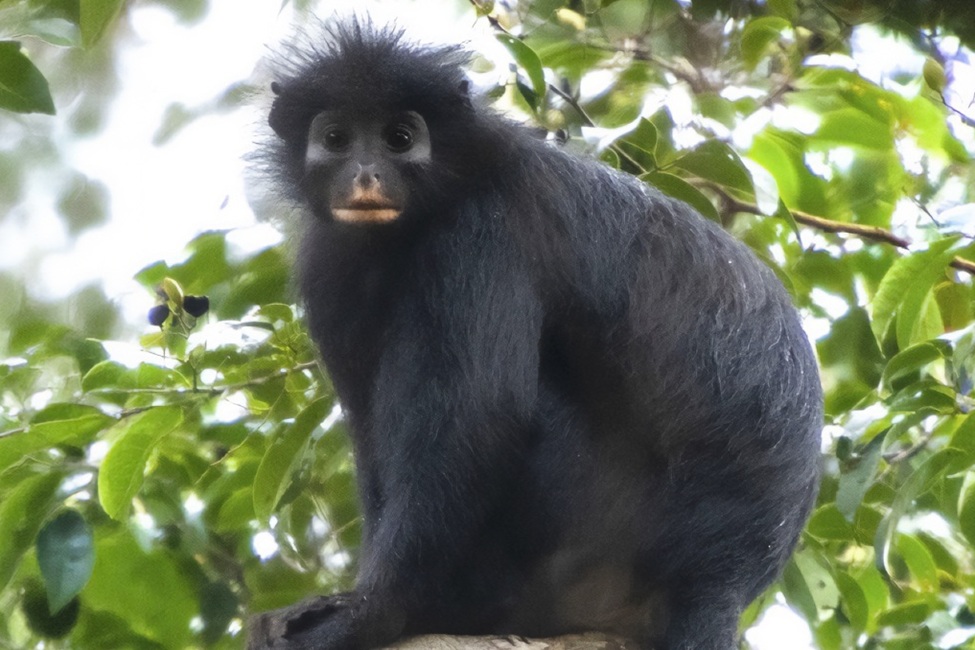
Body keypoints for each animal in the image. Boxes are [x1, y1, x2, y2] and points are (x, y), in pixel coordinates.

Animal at [248, 19, 822, 650]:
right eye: (336, 137)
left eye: (399, 138)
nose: (366, 173)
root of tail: (724, 578)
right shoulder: (329, 262)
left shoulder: (480, 230)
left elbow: (479, 415)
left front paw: (375, 613)